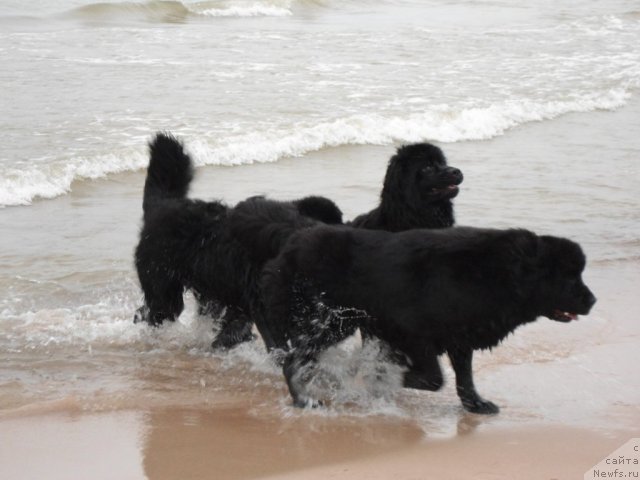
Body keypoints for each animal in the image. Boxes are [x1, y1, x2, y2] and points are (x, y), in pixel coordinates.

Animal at [258, 225, 596, 412]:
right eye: (569, 277)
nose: (593, 300)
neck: (499, 274)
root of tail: (288, 250)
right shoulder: (411, 332)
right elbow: (433, 378)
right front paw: (375, 376)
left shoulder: (460, 336)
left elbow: (464, 378)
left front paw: (475, 405)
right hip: (332, 322)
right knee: (293, 361)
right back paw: (304, 400)